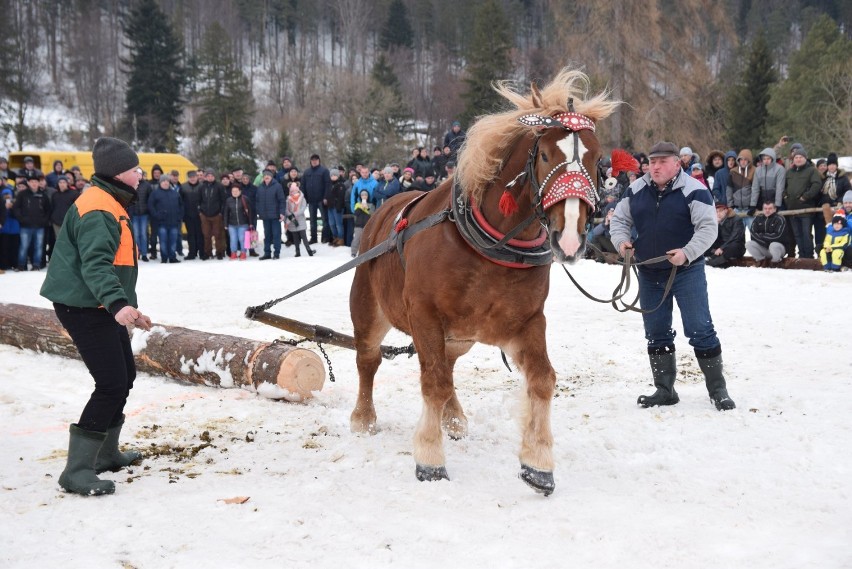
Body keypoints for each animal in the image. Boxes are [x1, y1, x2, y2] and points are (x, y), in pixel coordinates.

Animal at [346, 69, 620, 494]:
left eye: (595, 157)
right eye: (545, 155)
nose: (572, 239)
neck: (490, 245)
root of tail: (381, 211)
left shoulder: (527, 321)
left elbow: (542, 379)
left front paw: (538, 462)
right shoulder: (424, 315)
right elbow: (432, 382)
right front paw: (429, 458)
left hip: (461, 336)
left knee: (447, 367)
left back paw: (454, 418)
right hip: (370, 311)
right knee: (369, 360)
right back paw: (364, 417)